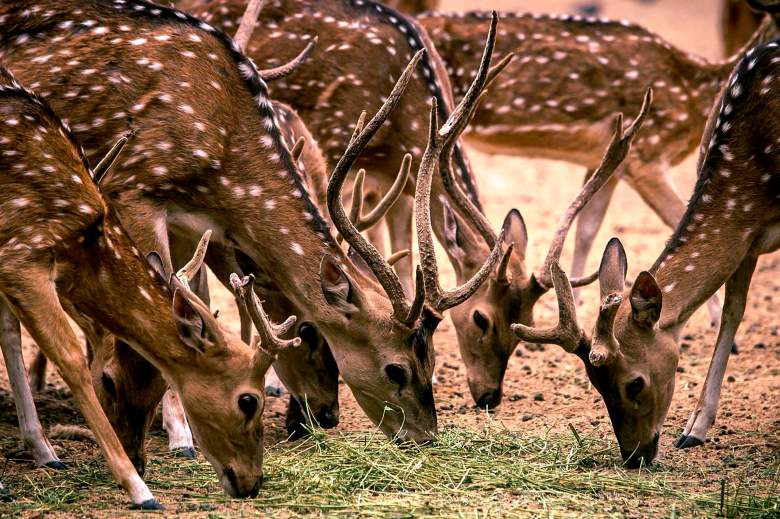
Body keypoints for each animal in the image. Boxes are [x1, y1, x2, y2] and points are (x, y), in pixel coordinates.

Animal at [0, 1, 512, 446]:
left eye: (433, 358)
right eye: (396, 368)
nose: (424, 436)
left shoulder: (207, 226)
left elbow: (204, 297)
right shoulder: (135, 189)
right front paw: (180, 434)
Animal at [0, 67, 298, 506]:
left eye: (162, 385)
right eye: (248, 401)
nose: (251, 483)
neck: (86, 239)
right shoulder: (19, 253)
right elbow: (69, 357)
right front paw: (139, 490)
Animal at [512, 25, 780, 468]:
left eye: (633, 384)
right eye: (595, 384)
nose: (634, 455)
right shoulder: (747, 232)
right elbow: (733, 311)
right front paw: (695, 429)